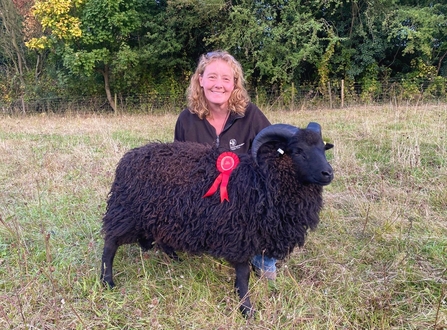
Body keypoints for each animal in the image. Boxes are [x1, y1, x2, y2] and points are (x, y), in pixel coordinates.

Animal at [100, 122, 332, 316]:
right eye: (298, 151)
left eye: (323, 148)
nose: (328, 173)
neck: (262, 179)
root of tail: (128, 158)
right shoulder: (240, 235)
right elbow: (243, 275)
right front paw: (246, 309)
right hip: (127, 212)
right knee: (110, 244)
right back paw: (107, 281)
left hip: (163, 214)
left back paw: (175, 259)